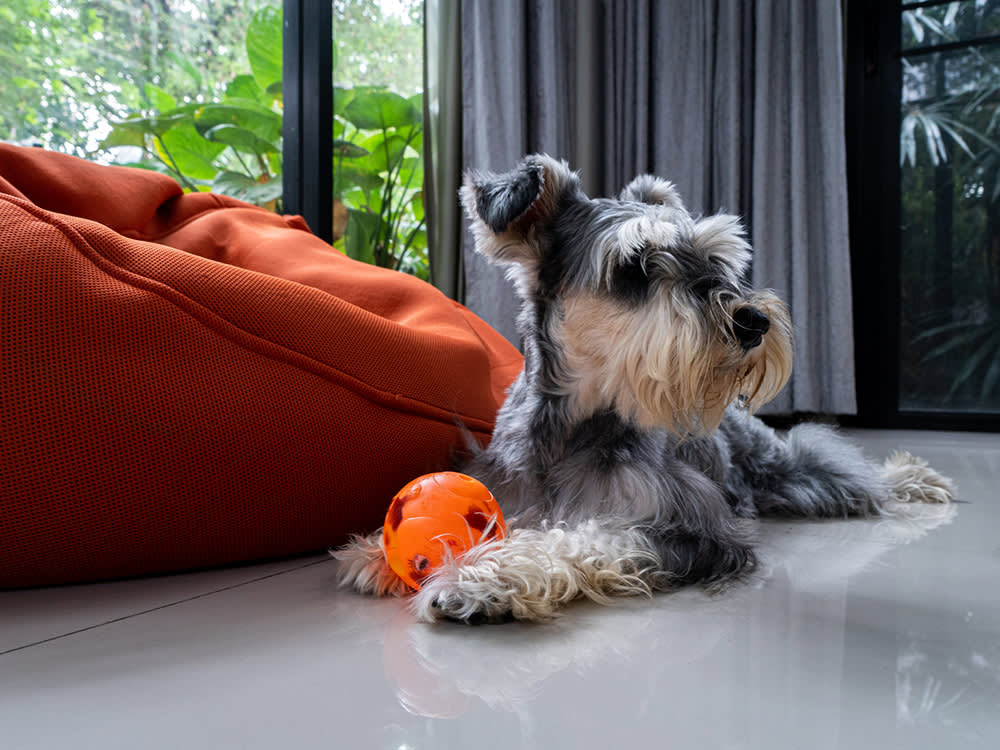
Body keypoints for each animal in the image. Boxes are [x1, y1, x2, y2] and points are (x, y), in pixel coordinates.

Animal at [340, 153, 956, 624]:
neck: (575, 428)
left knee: (844, 469)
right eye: (634, 266)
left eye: (715, 258)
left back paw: (914, 477)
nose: (754, 321)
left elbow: (586, 538)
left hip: (792, 473)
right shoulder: (506, 489)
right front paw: (375, 550)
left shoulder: (684, 527)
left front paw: (485, 578)